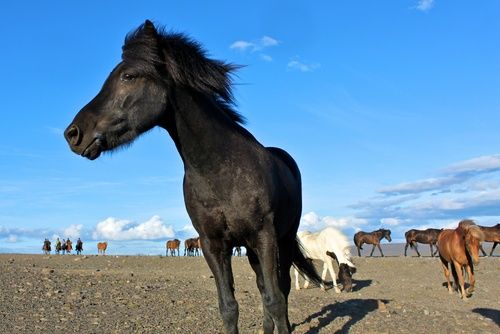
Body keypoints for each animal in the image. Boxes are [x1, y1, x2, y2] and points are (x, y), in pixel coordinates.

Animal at [64, 20, 320, 334]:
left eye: (129, 75)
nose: (73, 133)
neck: (222, 173)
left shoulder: (265, 237)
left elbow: (276, 299)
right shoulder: (212, 245)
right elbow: (229, 306)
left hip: (282, 239)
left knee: (278, 289)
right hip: (251, 249)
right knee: (262, 286)